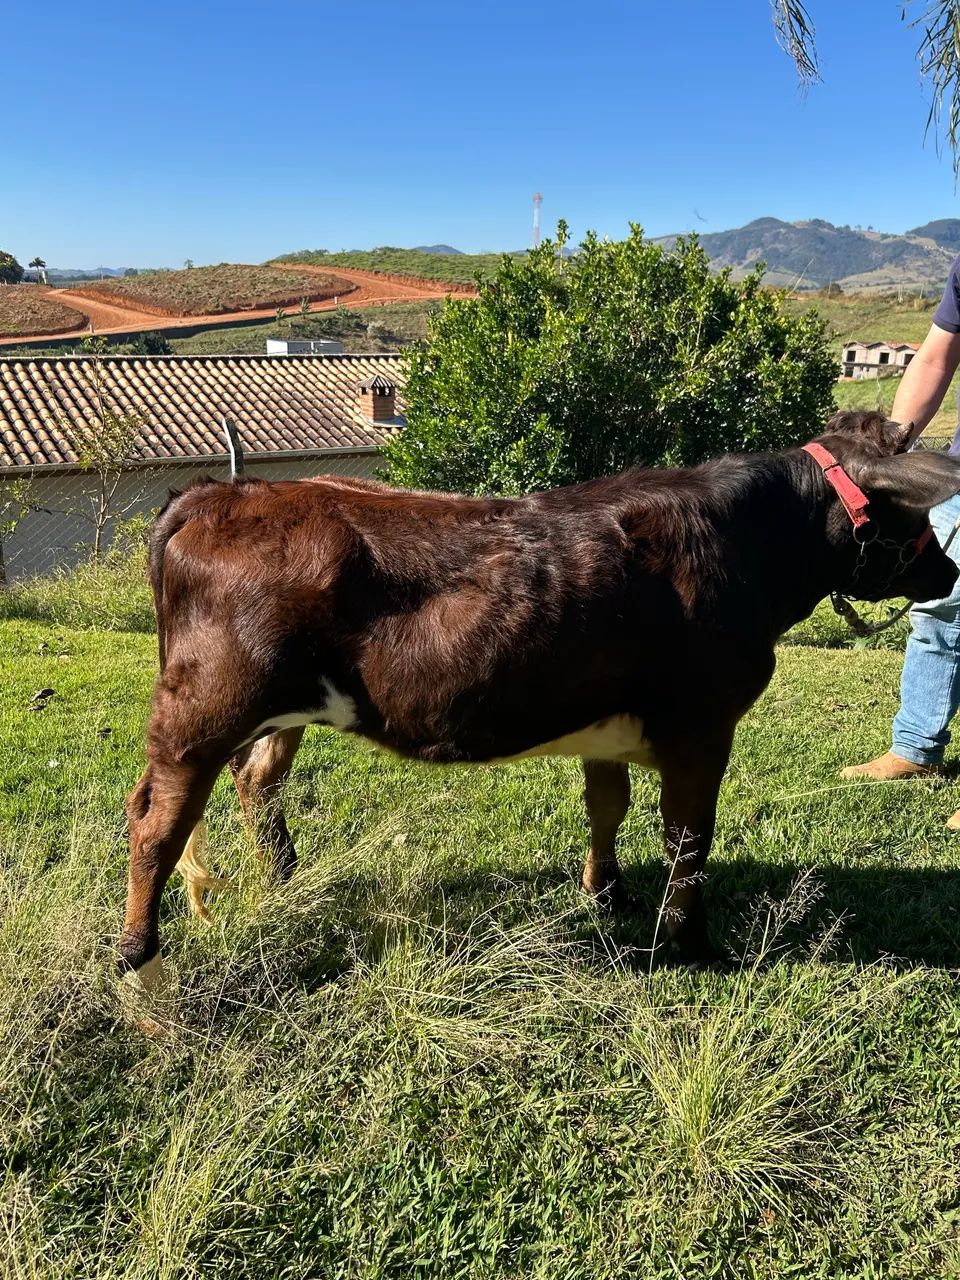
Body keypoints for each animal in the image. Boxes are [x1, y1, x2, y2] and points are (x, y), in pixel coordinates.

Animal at [120, 411, 960, 990]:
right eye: (911, 512)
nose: (947, 573)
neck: (744, 545)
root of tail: (223, 491)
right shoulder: (702, 723)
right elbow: (688, 838)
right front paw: (690, 943)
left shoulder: (607, 723)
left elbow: (608, 805)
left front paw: (607, 893)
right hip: (205, 708)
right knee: (158, 822)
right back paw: (142, 962)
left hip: (281, 709)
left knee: (258, 781)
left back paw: (285, 881)